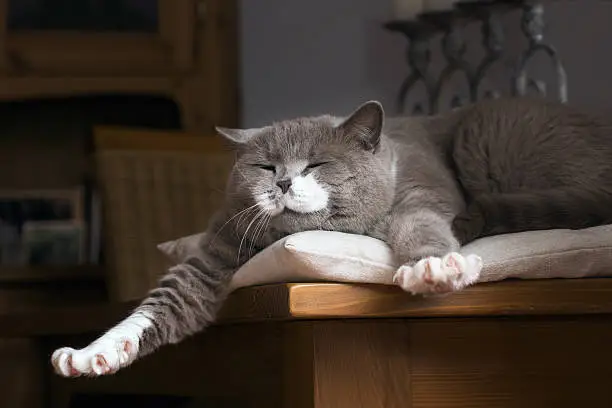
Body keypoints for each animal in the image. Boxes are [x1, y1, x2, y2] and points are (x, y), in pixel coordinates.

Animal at [50, 96, 612, 376]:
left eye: (317, 164)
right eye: (263, 165)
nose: (281, 182)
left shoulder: (422, 191)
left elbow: (423, 225)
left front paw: (433, 268)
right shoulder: (219, 245)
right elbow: (166, 301)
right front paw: (93, 354)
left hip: (490, 139)